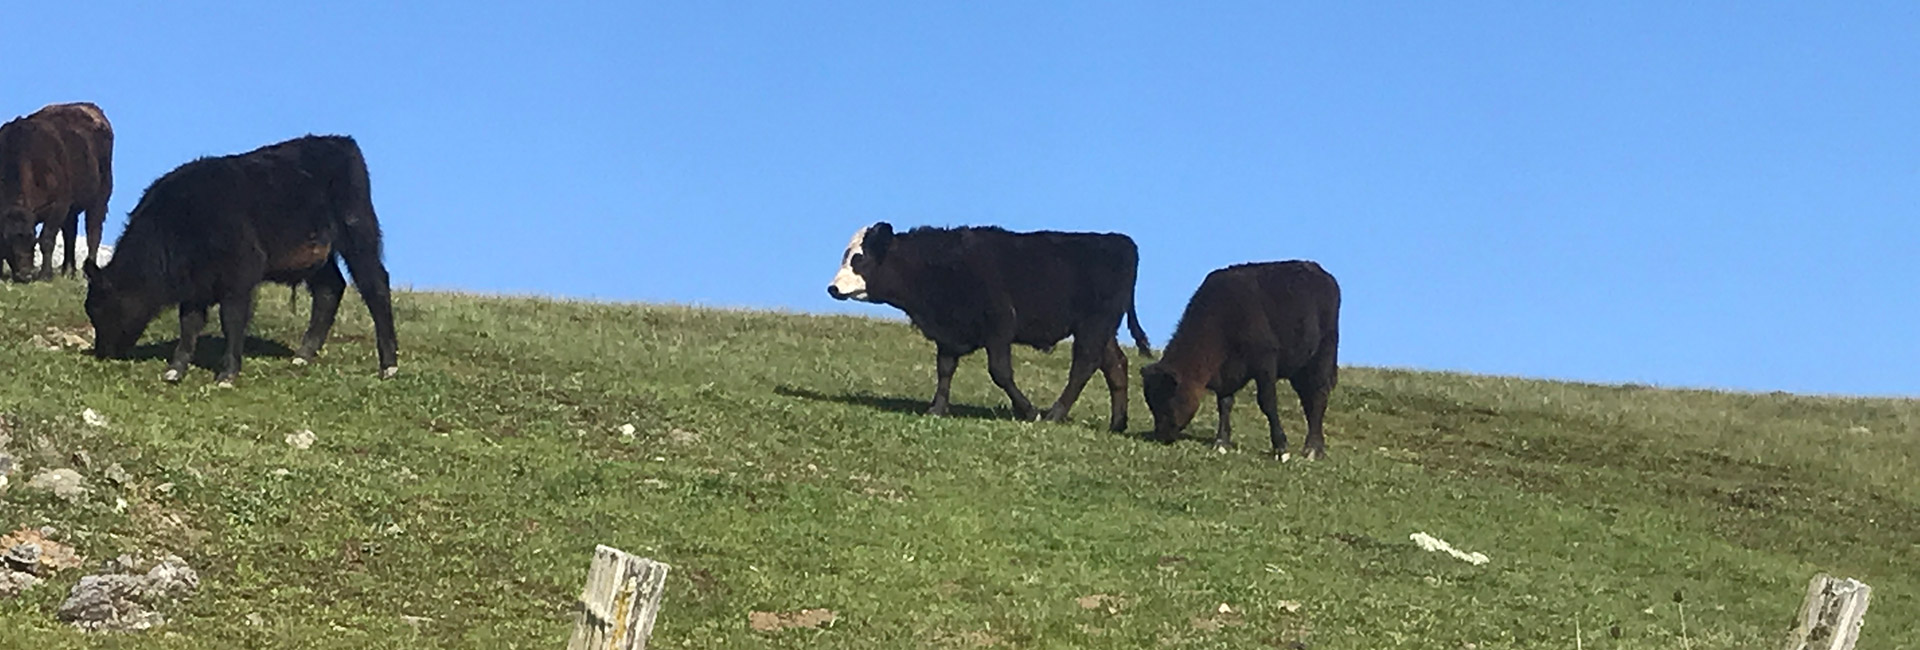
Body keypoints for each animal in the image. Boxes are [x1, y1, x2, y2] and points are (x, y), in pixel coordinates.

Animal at [0, 102, 113, 281]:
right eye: (7, 241)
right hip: (73, 207)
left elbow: (47, 239)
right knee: (70, 234)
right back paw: (68, 271)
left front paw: (45, 275)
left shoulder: (59, 204)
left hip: (101, 195)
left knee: (93, 232)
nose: (25, 274)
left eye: (31, 237)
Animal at [85, 134, 397, 385]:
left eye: (99, 308)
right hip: (316, 255)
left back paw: (389, 365)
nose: (102, 353)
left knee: (375, 285)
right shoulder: (195, 286)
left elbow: (231, 320)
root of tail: (341, 141)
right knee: (329, 289)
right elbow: (189, 324)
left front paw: (227, 374)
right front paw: (175, 369)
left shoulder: (240, 272)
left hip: (357, 230)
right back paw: (303, 355)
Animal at [821, 224, 1144, 433]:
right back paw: (1117, 424)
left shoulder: (999, 327)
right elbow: (945, 369)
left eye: (860, 258)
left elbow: (1000, 372)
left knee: (1083, 366)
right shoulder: (948, 335)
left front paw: (1029, 411)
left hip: (1093, 324)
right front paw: (937, 409)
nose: (833, 288)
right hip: (1102, 329)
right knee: (1115, 365)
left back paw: (1055, 413)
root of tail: (1120, 241)